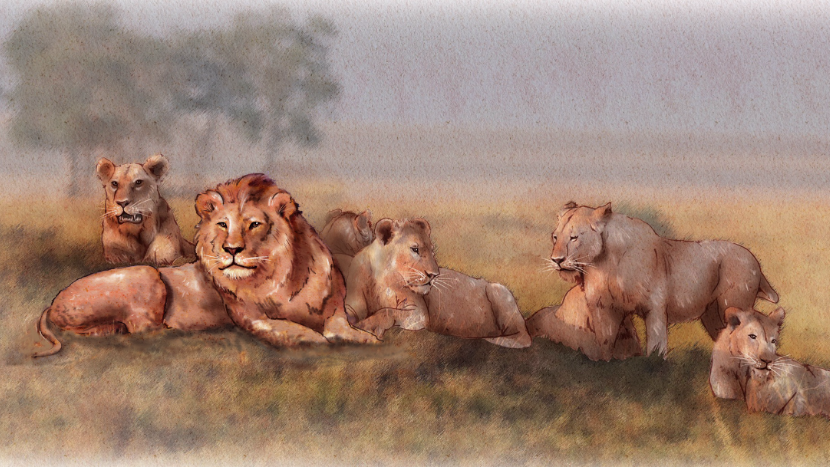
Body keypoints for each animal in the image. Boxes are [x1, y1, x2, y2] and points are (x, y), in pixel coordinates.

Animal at [33, 174, 376, 357]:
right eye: (223, 224)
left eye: (254, 225)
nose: (231, 250)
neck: (279, 276)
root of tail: (52, 302)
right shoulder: (252, 319)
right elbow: (290, 330)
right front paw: (315, 340)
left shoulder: (334, 313)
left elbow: (348, 330)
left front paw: (368, 338)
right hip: (147, 274)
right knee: (142, 330)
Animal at [344, 217, 532, 348]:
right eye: (415, 249)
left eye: (432, 251)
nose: (434, 274)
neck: (382, 279)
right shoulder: (352, 302)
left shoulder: (419, 313)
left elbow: (387, 312)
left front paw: (368, 326)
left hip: (499, 290)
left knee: (523, 337)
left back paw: (491, 338)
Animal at [547, 202, 779, 359]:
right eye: (555, 237)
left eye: (574, 237)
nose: (557, 260)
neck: (604, 265)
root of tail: (754, 261)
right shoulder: (603, 308)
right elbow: (604, 344)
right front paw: (603, 363)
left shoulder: (655, 308)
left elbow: (656, 348)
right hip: (712, 316)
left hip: (733, 306)